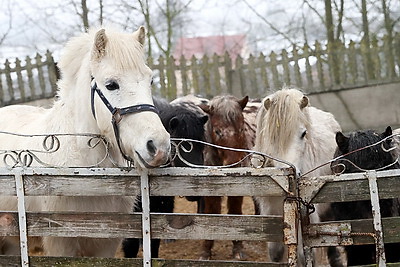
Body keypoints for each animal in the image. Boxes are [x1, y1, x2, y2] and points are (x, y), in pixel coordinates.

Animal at [198, 95, 260, 260]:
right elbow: (212, 213)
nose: (234, 164)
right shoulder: (210, 193)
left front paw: (237, 248)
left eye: (241, 129)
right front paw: (206, 250)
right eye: (217, 131)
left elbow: (234, 212)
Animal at [253, 88, 340, 266]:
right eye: (272, 136)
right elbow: (276, 252)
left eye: (304, 133)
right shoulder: (270, 210)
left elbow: (304, 253)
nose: (293, 174)